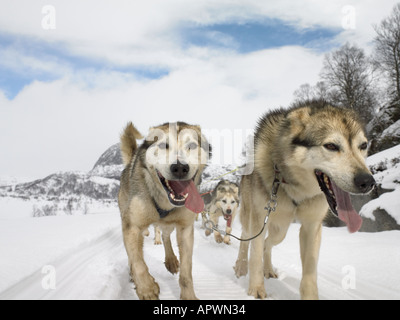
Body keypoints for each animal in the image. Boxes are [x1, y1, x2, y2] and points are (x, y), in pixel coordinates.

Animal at [119, 121, 211, 298]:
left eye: (192, 145)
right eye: (163, 145)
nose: (180, 168)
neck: (164, 203)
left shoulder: (185, 228)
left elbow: (186, 272)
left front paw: (189, 296)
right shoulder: (132, 227)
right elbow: (138, 262)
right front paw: (147, 288)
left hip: (169, 224)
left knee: (166, 236)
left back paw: (171, 260)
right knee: (134, 255)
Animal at [233, 100, 376, 300]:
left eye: (363, 145)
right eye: (331, 146)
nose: (367, 181)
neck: (294, 187)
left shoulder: (312, 226)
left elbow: (310, 272)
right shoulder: (259, 219)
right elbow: (254, 256)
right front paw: (256, 290)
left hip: (280, 230)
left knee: (268, 244)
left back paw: (268, 269)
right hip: (252, 219)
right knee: (246, 240)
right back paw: (240, 266)